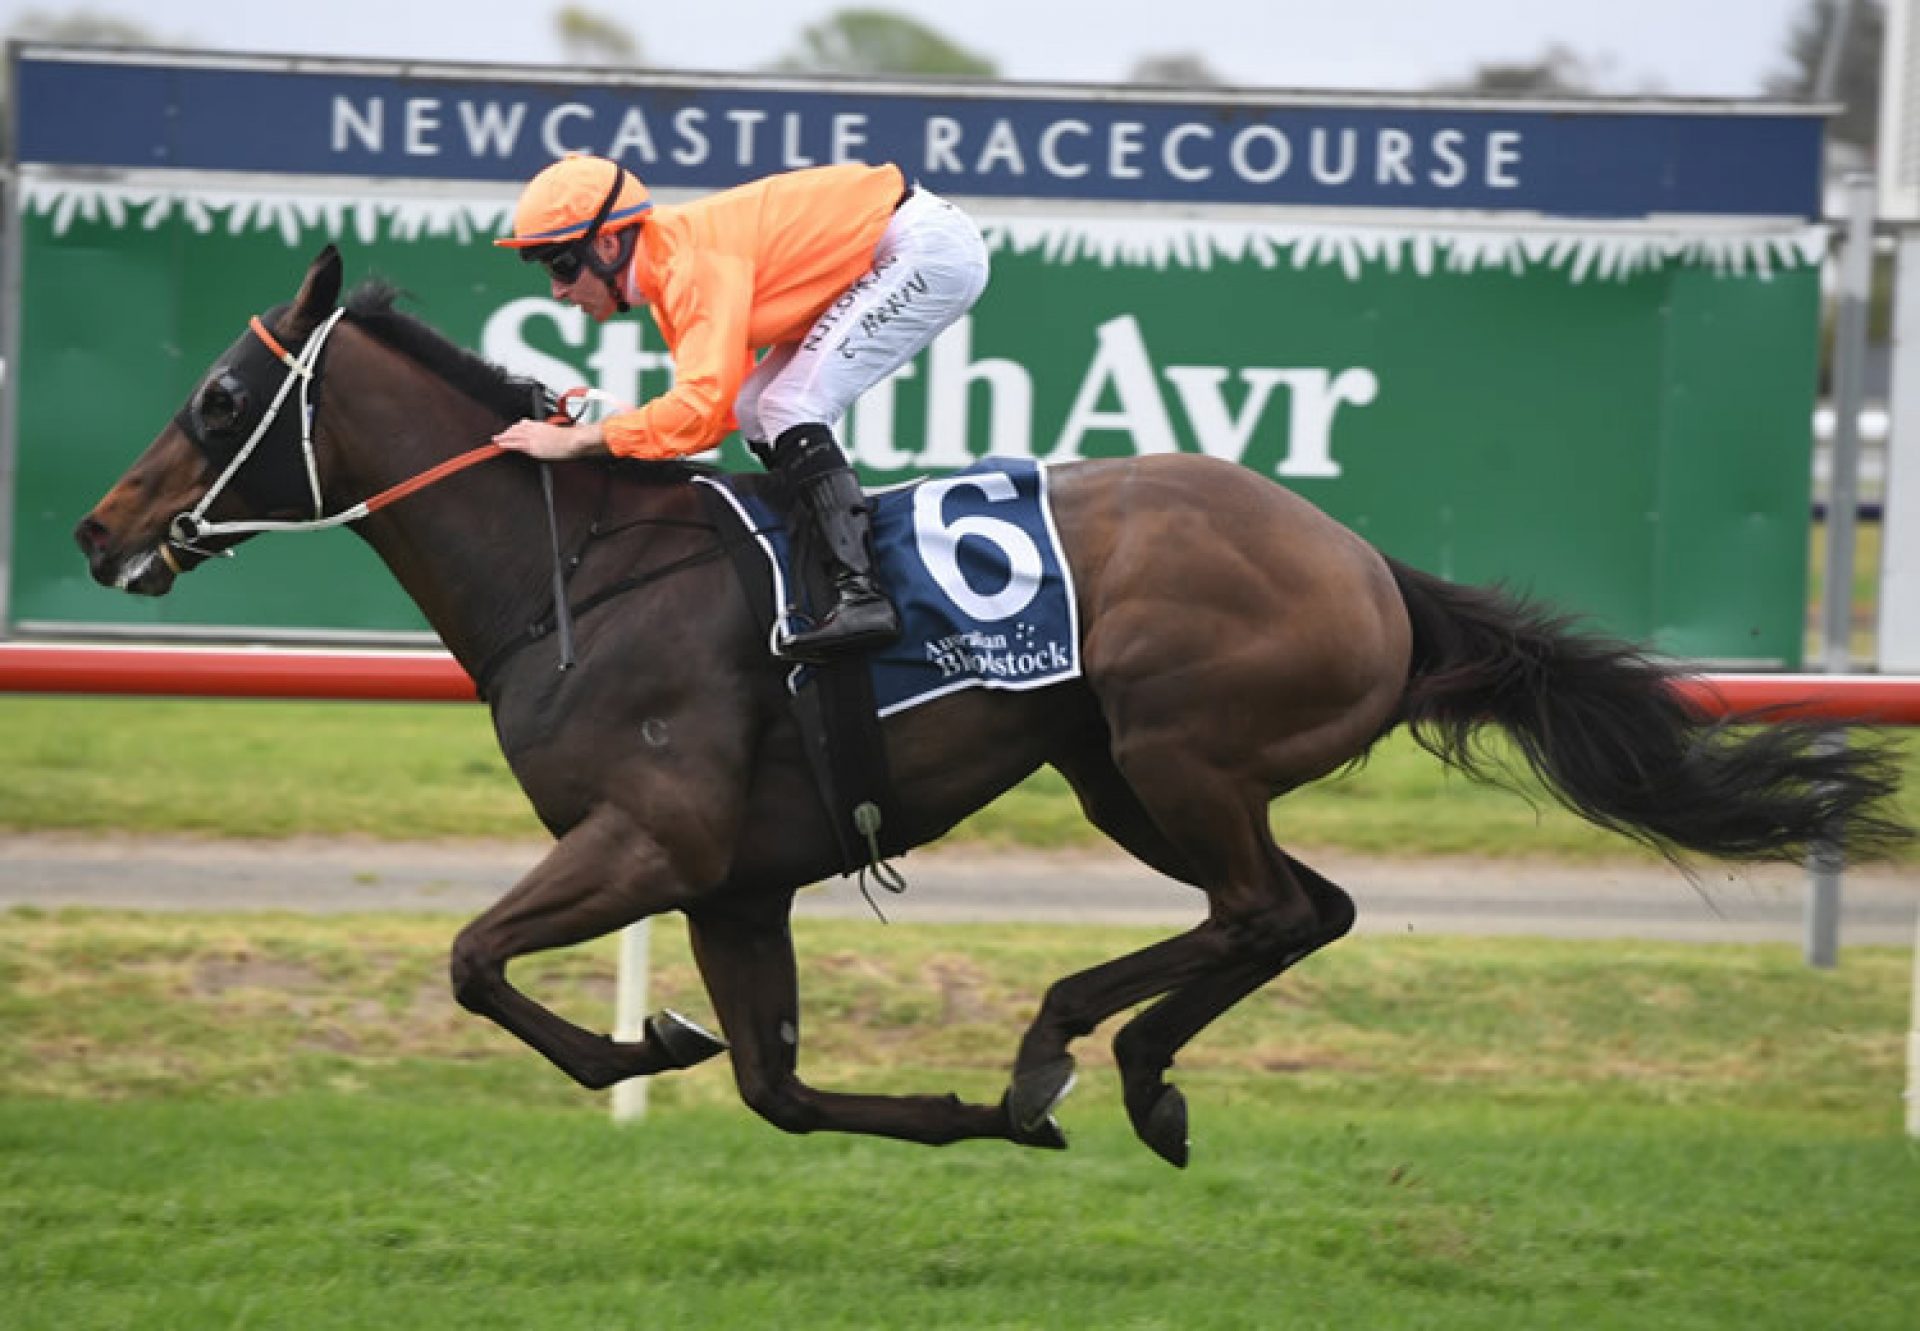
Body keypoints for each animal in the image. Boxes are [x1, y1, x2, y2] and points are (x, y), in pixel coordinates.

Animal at [71, 245, 1904, 1160]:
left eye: (219, 395)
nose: (96, 530)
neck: (575, 573)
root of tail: (1370, 560)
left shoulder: (652, 837)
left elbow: (470, 960)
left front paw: (641, 1042)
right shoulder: (736, 880)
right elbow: (772, 1082)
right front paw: (885, 1099)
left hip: (1178, 749)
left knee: (1258, 908)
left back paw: (1068, 1048)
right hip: (1123, 776)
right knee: (1303, 909)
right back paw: (1116, 1076)